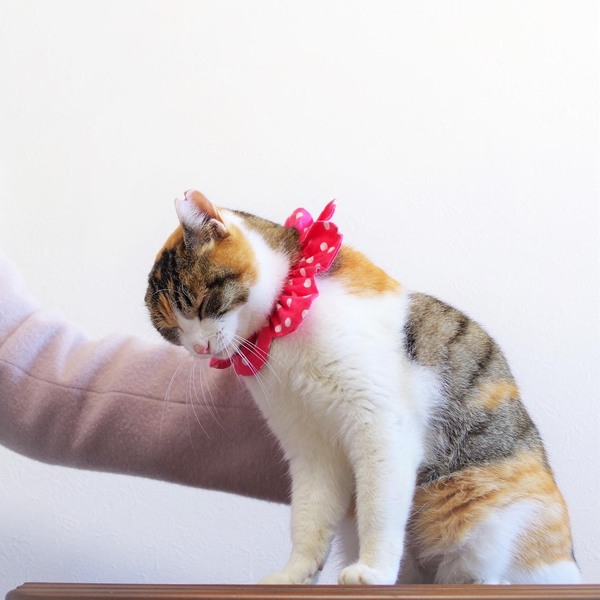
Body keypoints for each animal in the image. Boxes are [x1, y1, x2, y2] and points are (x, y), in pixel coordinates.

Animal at [145, 189, 580, 585]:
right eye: (172, 332)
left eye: (200, 302)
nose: (199, 348)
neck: (281, 333)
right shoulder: (311, 450)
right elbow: (308, 518)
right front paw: (295, 574)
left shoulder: (381, 427)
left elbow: (379, 508)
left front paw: (373, 572)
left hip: (485, 514)